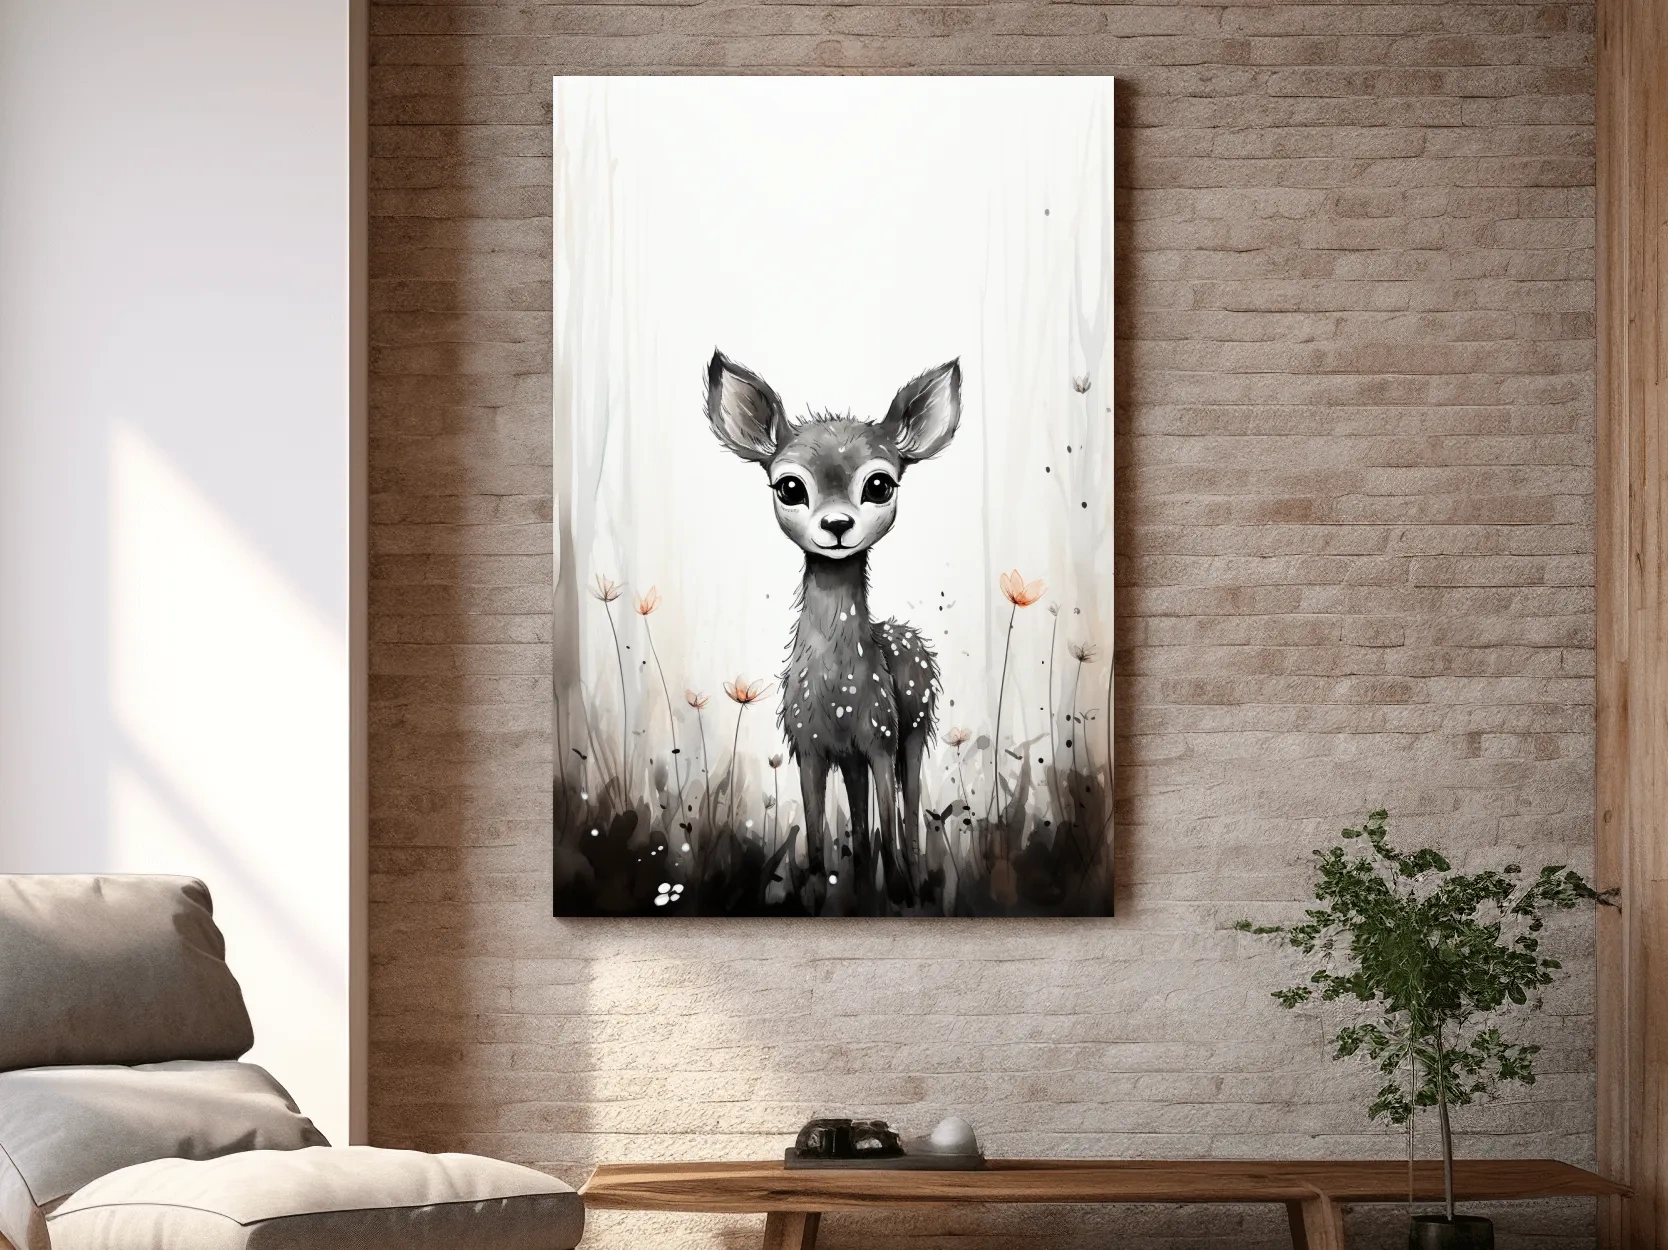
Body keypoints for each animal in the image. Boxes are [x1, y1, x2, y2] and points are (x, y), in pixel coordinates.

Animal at [705, 350, 961, 908]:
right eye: (790, 486)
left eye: (880, 484)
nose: (838, 525)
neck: (839, 691)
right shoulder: (810, 746)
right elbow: (820, 841)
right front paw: (821, 894)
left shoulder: (881, 736)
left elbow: (890, 820)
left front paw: (900, 892)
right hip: (854, 757)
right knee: (862, 827)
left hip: (913, 729)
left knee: (908, 815)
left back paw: (910, 884)